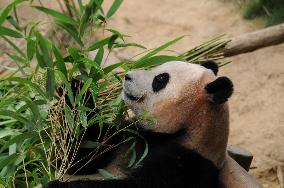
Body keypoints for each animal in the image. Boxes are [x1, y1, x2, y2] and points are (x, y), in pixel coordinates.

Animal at [46, 61, 233, 187]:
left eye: (160, 79)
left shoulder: (186, 164)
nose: (127, 76)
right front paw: (75, 90)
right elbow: (82, 156)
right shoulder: (132, 134)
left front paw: (55, 185)